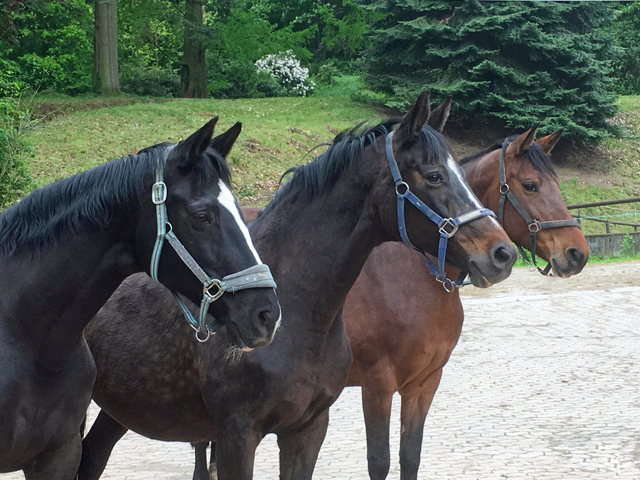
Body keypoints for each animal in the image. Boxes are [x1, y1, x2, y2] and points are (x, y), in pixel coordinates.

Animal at [348, 124, 588, 480]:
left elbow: (410, 456)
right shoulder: (376, 385)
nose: (578, 253)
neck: (409, 273)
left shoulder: (424, 382)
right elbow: (379, 461)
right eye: (531, 185)